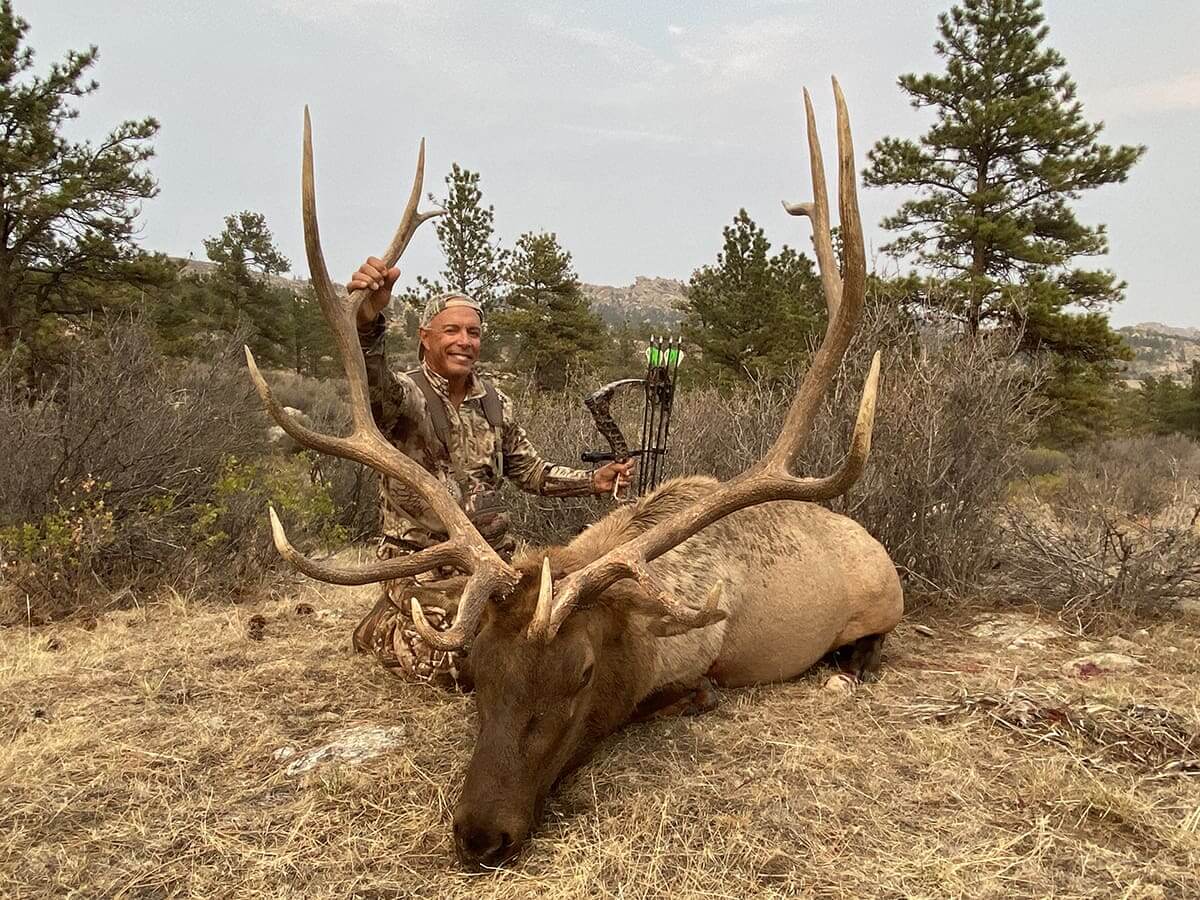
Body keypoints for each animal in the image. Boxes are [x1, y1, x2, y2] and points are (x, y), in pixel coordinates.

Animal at [246, 81, 902, 868]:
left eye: (582, 672)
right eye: (480, 670)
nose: (481, 833)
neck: (648, 632)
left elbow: (693, 693)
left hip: (882, 603)